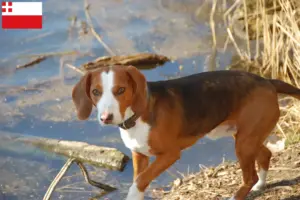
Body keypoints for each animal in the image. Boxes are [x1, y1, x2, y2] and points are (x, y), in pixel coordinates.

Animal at [71, 65, 300, 199]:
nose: (106, 118)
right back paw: (260, 186)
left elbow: (140, 181)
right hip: (245, 138)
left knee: (249, 176)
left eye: (120, 90)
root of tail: (267, 81)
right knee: (266, 154)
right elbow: (139, 178)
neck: (139, 115)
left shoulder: (170, 155)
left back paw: (241, 193)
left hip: (243, 143)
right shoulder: (139, 155)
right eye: (95, 92)